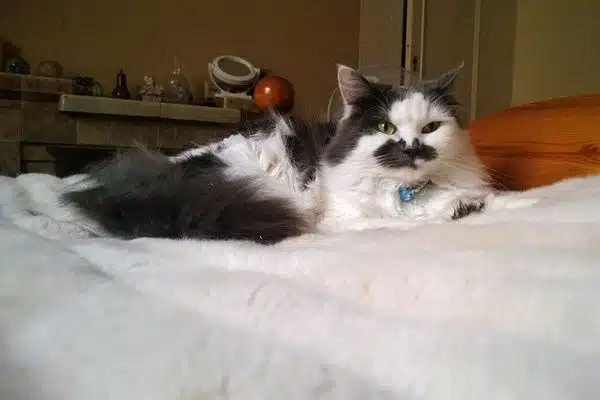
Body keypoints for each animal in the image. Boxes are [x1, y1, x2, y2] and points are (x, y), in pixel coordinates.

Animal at [62, 63, 492, 244]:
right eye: (386, 128)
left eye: (430, 128)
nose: (412, 147)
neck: (404, 191)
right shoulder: (341, 218)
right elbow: (400, 222)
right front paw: (451, 212)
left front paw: (468, 206)